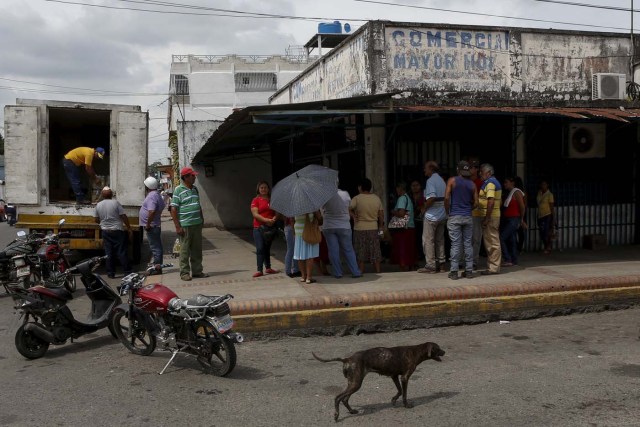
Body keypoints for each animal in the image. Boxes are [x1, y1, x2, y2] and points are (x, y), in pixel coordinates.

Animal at [314, 342, 444, 422]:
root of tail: (347, 359)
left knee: (345, 399)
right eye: (438, 348)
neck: (416, 351)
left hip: (353, 383)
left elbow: (399, 391)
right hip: (356, 383)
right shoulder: (404, 377)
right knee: (338, 398)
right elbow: (404, 394)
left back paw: (351, 411)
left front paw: (393, 400)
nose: (445, 352)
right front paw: (406, 405)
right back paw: (336, 415)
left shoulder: (394, 376)